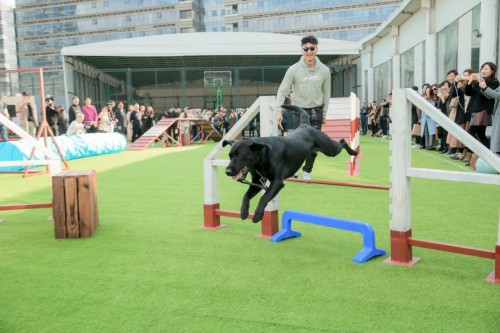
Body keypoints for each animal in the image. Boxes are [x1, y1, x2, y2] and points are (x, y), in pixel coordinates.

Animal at [222, 104, 356, 223]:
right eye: (230, 156)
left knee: (342, 141)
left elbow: (264, 197)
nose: (227, 171)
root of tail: (305, 125)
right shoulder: (257, 183)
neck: (262, 158)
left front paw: (258, 215)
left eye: (240, 156)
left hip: (330, 149)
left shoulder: (277, 182)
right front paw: (244, 211)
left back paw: (354, 151)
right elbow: (246, 195)